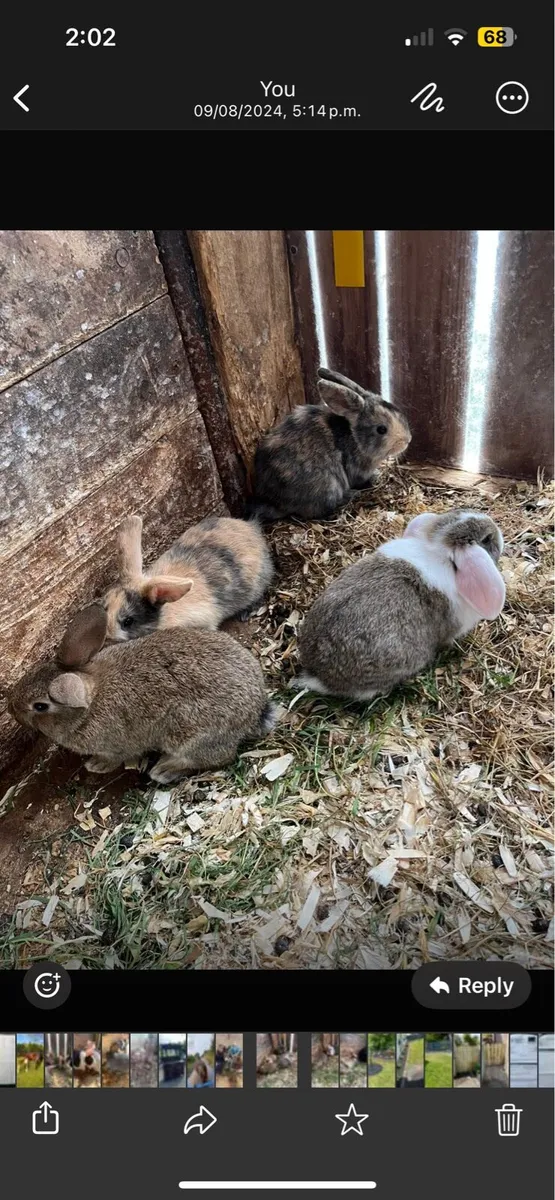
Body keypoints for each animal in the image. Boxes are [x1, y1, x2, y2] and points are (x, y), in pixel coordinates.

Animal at [7, 603, 277, 783]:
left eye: (40, 706)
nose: (12, 709)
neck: (90, 703)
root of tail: (255, 712)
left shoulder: (115, 746)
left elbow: (115, 758)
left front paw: (96, 765)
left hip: (190, 734)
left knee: (215, 758)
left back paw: (164, 770)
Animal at [250, 366, 411, 521]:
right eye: (381, 429)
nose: (407, 440)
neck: (355, 438)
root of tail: (276, 502)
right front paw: (375, 477)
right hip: (328, 485)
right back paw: (351, 495)